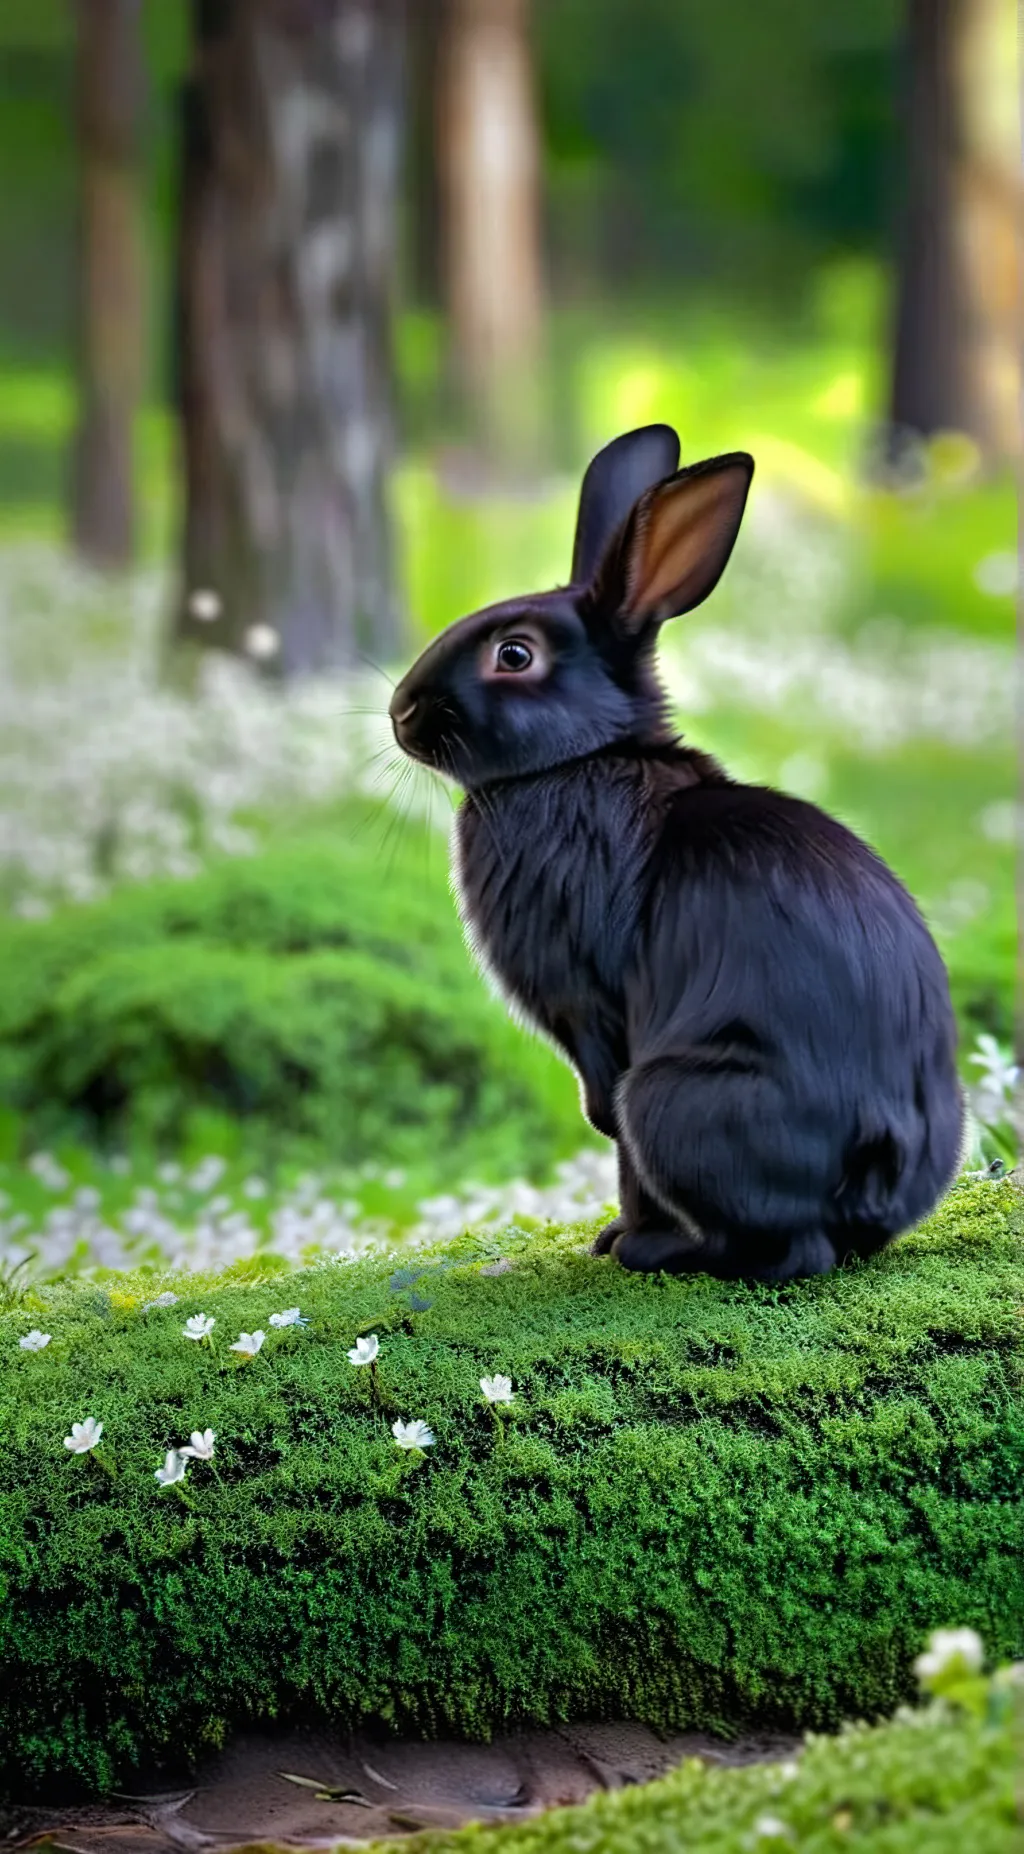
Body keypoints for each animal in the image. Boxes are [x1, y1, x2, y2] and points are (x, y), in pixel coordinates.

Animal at [389, 424, 964, 1280]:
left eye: (514, 656)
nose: (400, 713)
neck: (582, 758)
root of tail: (874, 1162)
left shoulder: (591, 1003)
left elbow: (607, 1116)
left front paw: (618, 1230)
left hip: (671, 1100)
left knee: (787, 1250)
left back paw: (652, 1248)